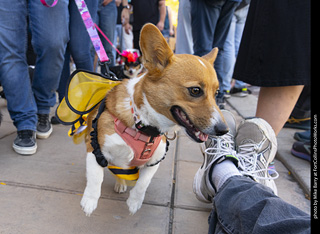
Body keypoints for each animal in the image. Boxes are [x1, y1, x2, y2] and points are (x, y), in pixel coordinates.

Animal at [81, 23, 229, 216]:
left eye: (217, 93)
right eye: (195, 90)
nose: (224, 130)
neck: (143, 124)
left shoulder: (153, 162)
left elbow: (143, 184)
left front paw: (134, 202)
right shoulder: (96, 149)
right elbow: (95, 177)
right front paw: (89, 201)